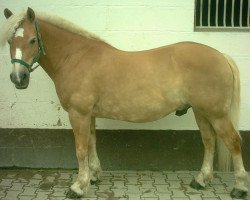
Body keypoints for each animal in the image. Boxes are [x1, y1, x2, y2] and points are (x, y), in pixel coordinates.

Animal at [0, 7, 248, 199]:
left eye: (32, 40)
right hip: (201, 111)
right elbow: (91, 143)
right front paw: (94, 176)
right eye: (11, 40)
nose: (18, 78)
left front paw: (78, 187)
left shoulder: (78, 114)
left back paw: (239, 187)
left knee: (233, 142)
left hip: (216, 114)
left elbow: (80, 149)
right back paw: (201, 179)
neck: (76, 57)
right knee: (209, 141)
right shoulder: (89, 115)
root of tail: (221, 55)